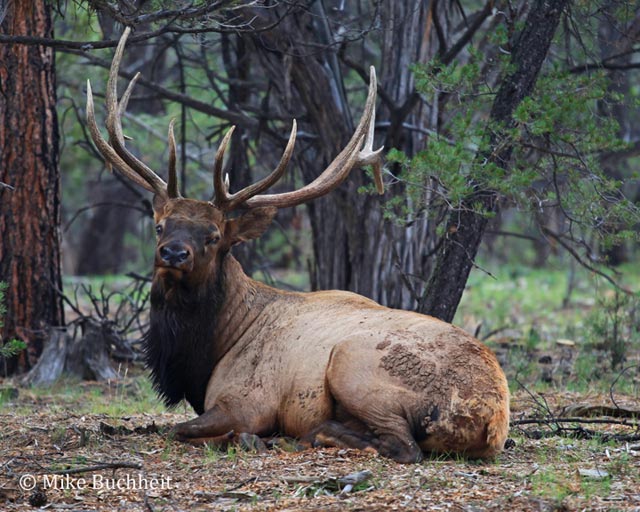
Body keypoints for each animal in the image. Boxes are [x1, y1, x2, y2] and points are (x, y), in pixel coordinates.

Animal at [86, 29, 510, 464]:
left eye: (214, 236)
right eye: (160, 226)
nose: (173, 253)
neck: (207, 351)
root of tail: (492, 417)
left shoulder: (246, 399)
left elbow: (179, 430)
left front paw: (246, 437)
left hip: (351, 362)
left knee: (403, 446)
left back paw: (307, 435)